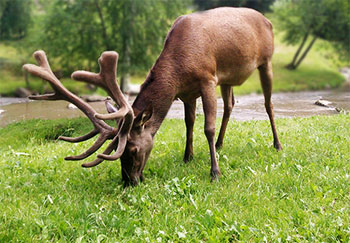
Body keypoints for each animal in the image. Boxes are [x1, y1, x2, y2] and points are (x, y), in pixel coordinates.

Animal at [23, 7, 282, 186]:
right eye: (115, 150)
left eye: (133, 150)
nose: (129, 182)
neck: (179, 69)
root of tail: (268, 20)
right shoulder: (187, 93)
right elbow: (189, 123)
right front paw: (188, 157)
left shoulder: (208, 79)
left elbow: (207, 127)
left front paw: (214, 173)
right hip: (229, 77)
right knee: (230, 105)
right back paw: (220, 144)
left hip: (267, 61)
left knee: (268, 103)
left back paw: (277, 144)